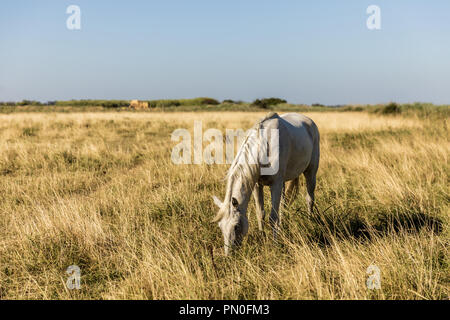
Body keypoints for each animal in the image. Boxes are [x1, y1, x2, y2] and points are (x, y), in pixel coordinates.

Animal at [212, 112, 320, 255]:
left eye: (236, 226)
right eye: (220, 226)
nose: (228, 255)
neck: (264, 147)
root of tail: (309, 121)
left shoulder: (276, 184)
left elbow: (272, 217)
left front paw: (275, 244)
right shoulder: (257, 185)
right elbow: (260, 213)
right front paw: (262, 238)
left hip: (310, 172)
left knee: (309, 198)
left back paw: (310, 220)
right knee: (283, 205)